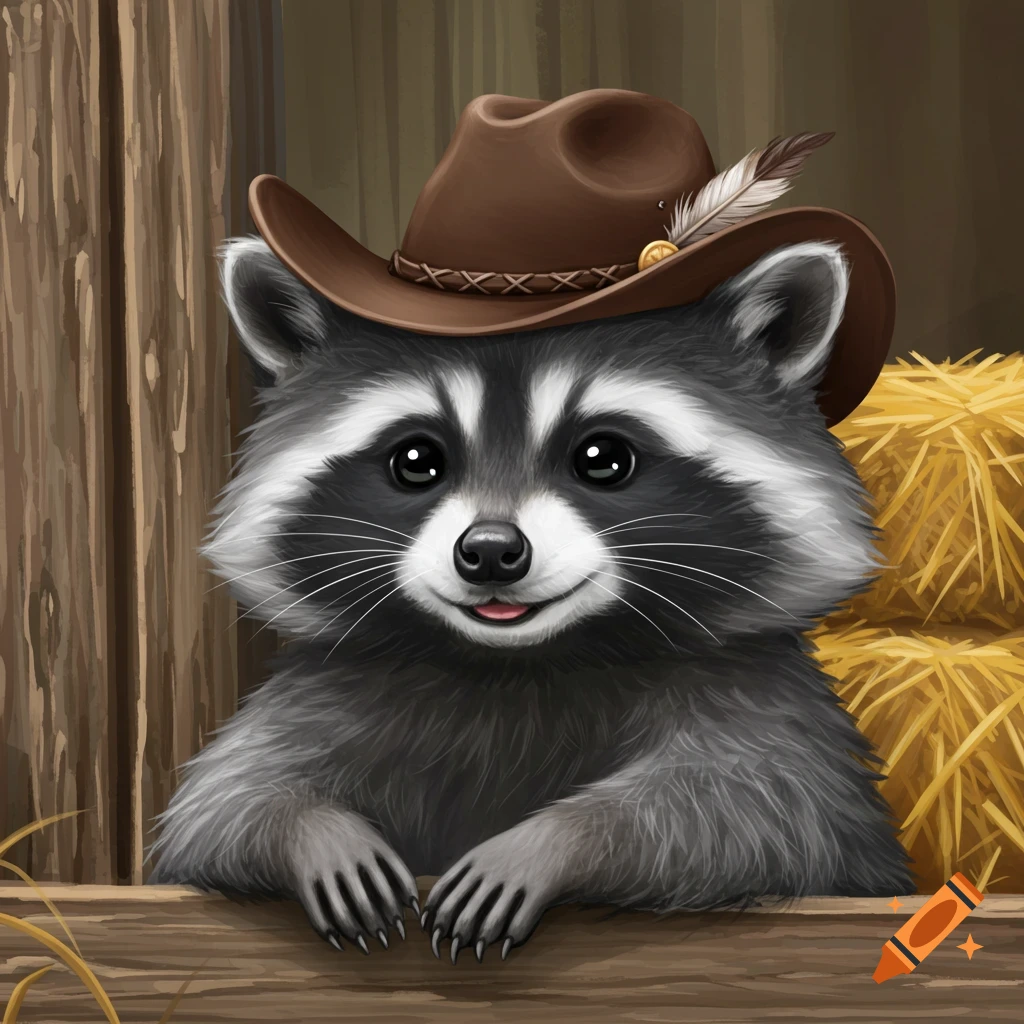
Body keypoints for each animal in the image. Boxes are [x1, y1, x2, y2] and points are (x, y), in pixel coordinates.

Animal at [147, 235, 914, 963]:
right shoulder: (336, 686)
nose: (490, 551)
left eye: (603, 458)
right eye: (416, 460)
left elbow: (756, 807)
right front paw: (316, 832)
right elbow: (225, 801)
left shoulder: (764, 702)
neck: (521, 662)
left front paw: (553, 841)